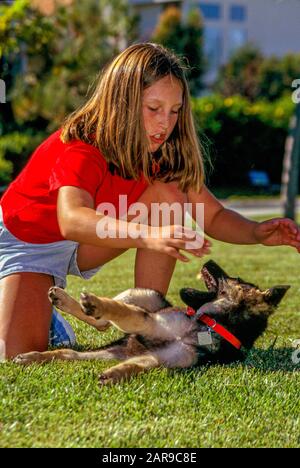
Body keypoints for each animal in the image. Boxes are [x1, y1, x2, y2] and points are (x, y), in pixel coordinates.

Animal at [13, 260, 288, 384]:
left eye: (236, 278)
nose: (209, 260)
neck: (209, 324)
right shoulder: (151, 321)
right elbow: (128, 313)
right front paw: (100, 305)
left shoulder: (164, 359)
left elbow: (141, 364)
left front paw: (117, 374)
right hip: (147, 294)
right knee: (110, 316)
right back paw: (78, 301)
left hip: (111, 350)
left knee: (73, 351)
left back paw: (34, 356)